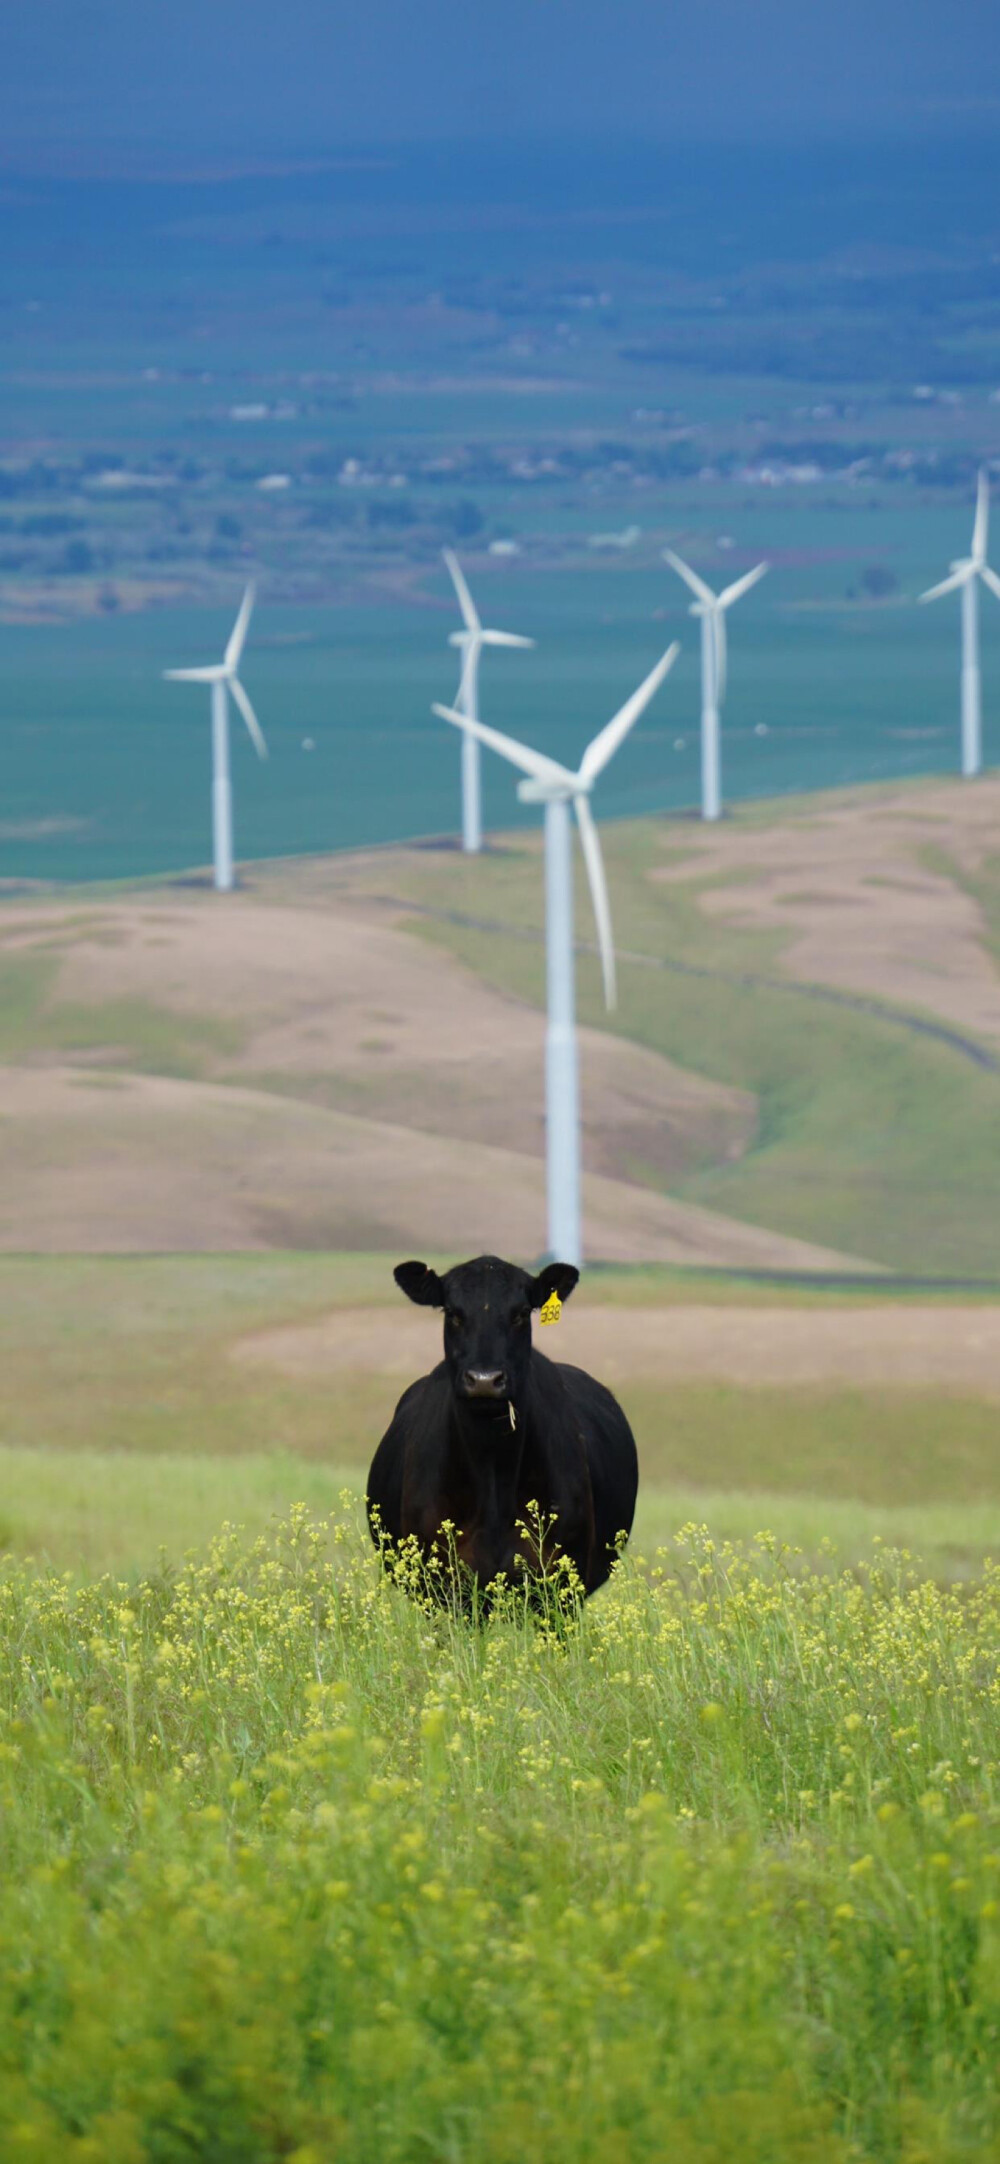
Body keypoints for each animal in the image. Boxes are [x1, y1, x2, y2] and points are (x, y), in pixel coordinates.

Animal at [367, 1255, 640, 1610]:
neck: (492, 1471)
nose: (484, 1379)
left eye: (521, 1312)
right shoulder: (444, 1589)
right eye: (452, 1312)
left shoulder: (561, 1586)